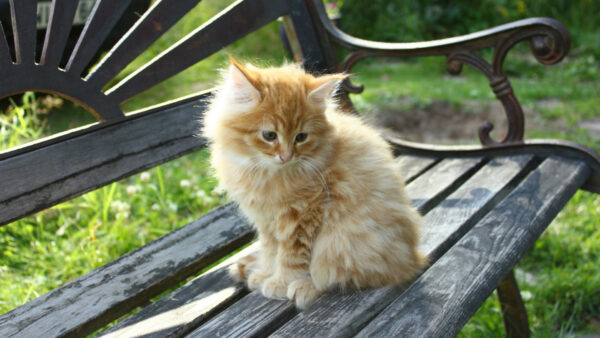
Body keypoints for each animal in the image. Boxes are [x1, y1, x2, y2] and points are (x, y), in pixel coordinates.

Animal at [202, 57, 426, 308]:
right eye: (269, 136)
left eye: (301, 137)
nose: (287, 156)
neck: (264, 173)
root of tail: (413, 258)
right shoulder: (266, 221)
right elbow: (270, 251)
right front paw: (265, 273)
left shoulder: (301, 216)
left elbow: (290, 257)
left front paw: (279, 282)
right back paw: (247, 267)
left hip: (343, 241)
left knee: (339, 276)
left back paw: (303, 288)